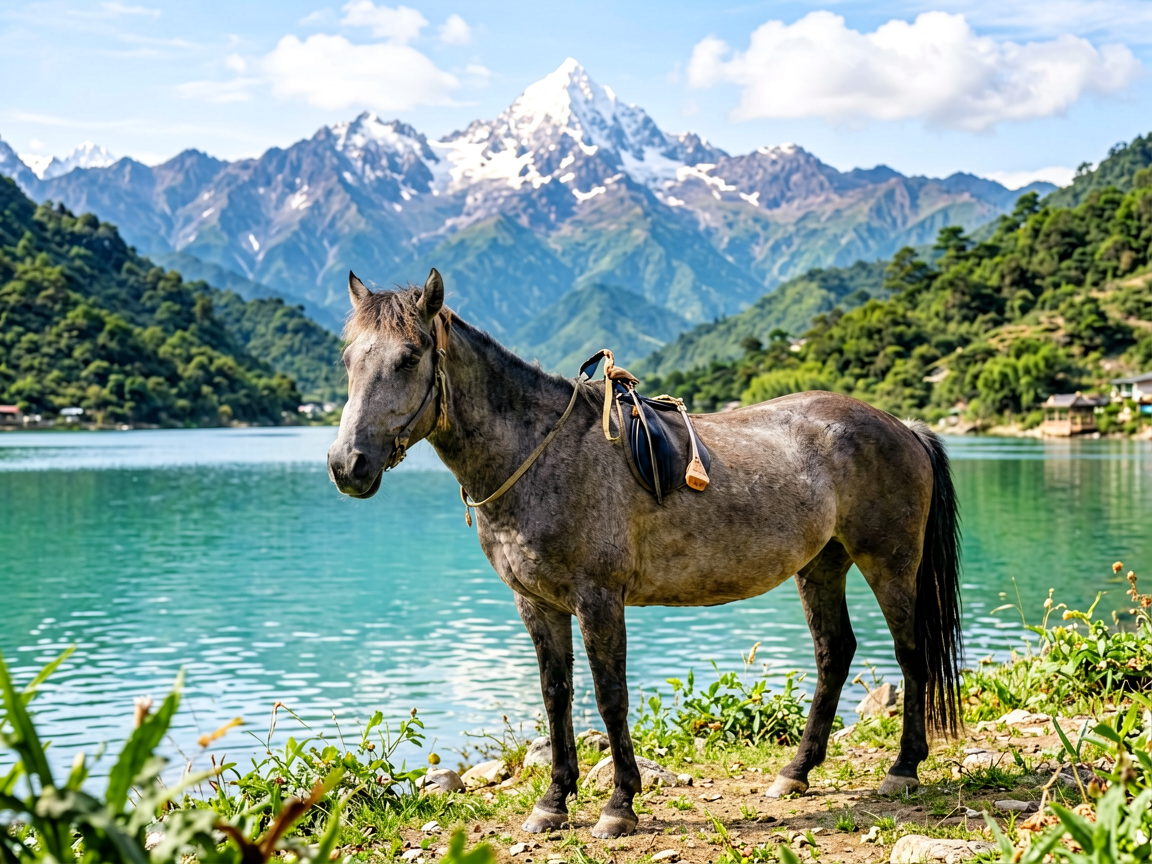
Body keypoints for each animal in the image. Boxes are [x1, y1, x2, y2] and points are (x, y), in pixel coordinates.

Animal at [328, 269, 963, 839]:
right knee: (834, 653)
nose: (346, 464)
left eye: (410, 358)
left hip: (889, 563)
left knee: (910, 653)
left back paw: (903, 768)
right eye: (349, 360)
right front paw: (553, 802)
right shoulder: (537, 604)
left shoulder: (599, 600)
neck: (539, 453)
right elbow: (556, 696)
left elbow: (611, 697)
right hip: (821, 564)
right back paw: (796, 771)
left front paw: (619, 805)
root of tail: (902, 426)